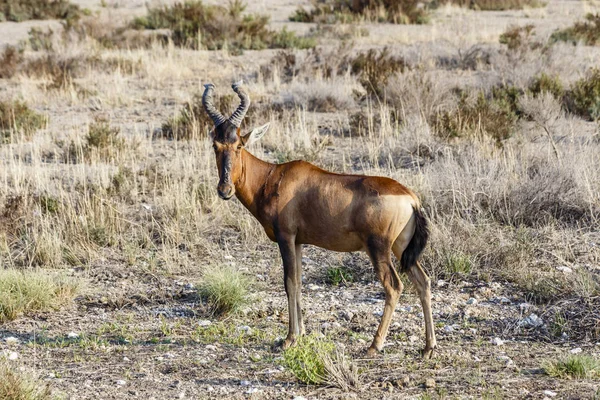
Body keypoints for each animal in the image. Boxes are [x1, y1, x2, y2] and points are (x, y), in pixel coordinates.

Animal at [202, 83, 436, 358]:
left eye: (238, 144)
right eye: (216, 145)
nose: (224, 190)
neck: (273, 176)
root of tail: (411, 198)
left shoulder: (286, 237)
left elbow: (289, 282)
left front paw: (289, 339)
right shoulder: (299, 242)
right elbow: (299, 282)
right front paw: (301, 333)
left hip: (379, 248)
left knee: (393, 287)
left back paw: (374, 345)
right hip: (402, 248)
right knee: (423, 282)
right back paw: (428, 347)